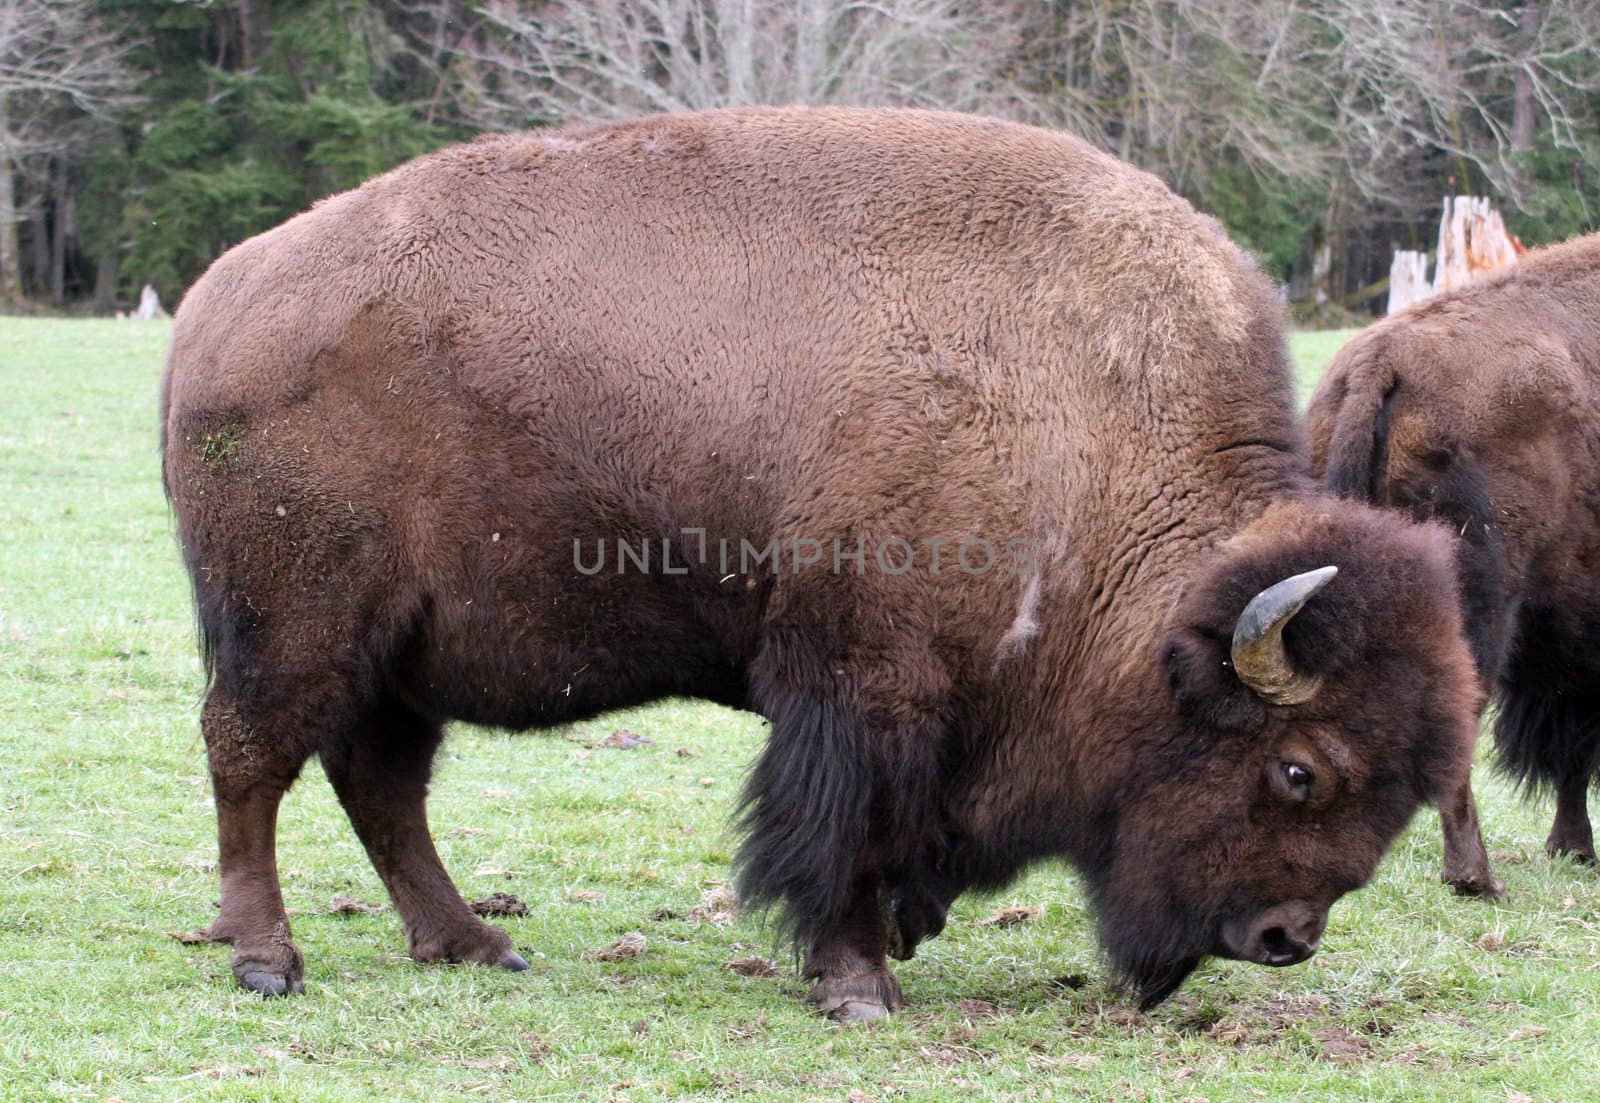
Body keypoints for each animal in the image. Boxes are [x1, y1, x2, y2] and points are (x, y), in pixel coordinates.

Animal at [156, 105, 1478, 1018]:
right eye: (1301, 769)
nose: (1282, 935)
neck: (1090, 433)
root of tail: (219, 296)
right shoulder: (864, 684)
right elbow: (846, 828)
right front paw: (857, 983)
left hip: (399, 648)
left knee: (379, 781)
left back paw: (475, 942)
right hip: (293, 619)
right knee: (252, 759)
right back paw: (269, 959)